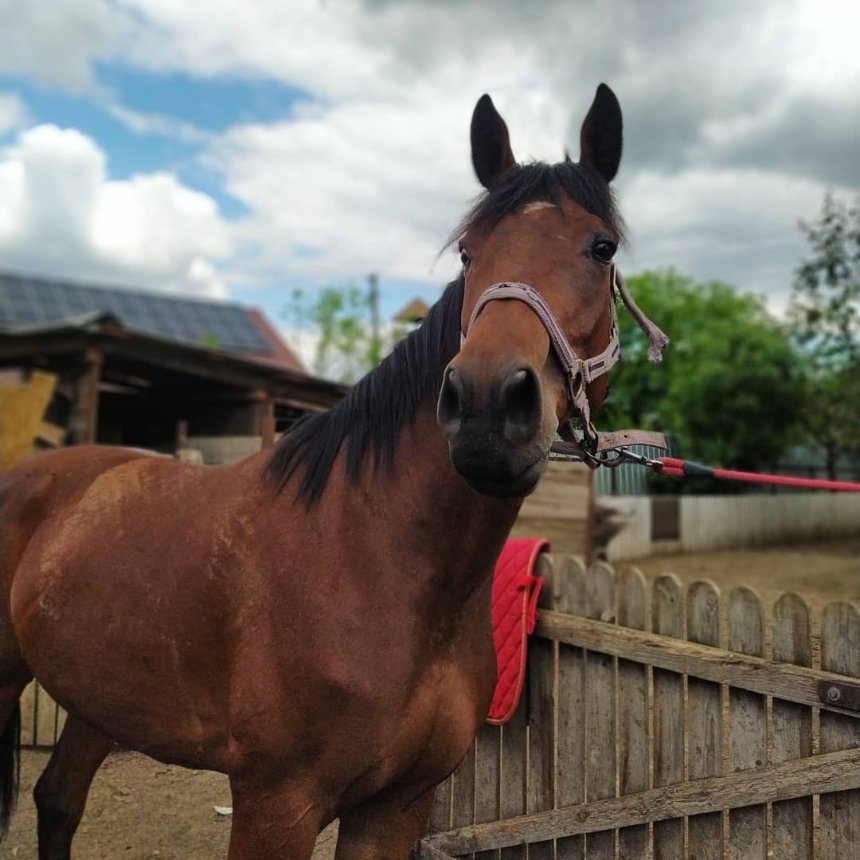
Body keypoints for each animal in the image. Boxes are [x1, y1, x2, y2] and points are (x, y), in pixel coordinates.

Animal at [0, 82, 632, 860]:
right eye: (467, 253)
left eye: (601, 247)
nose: (487, 403)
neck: (374, 559)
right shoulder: (276, 804)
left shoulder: (397, 806)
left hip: (100, 694)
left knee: (58, 799)